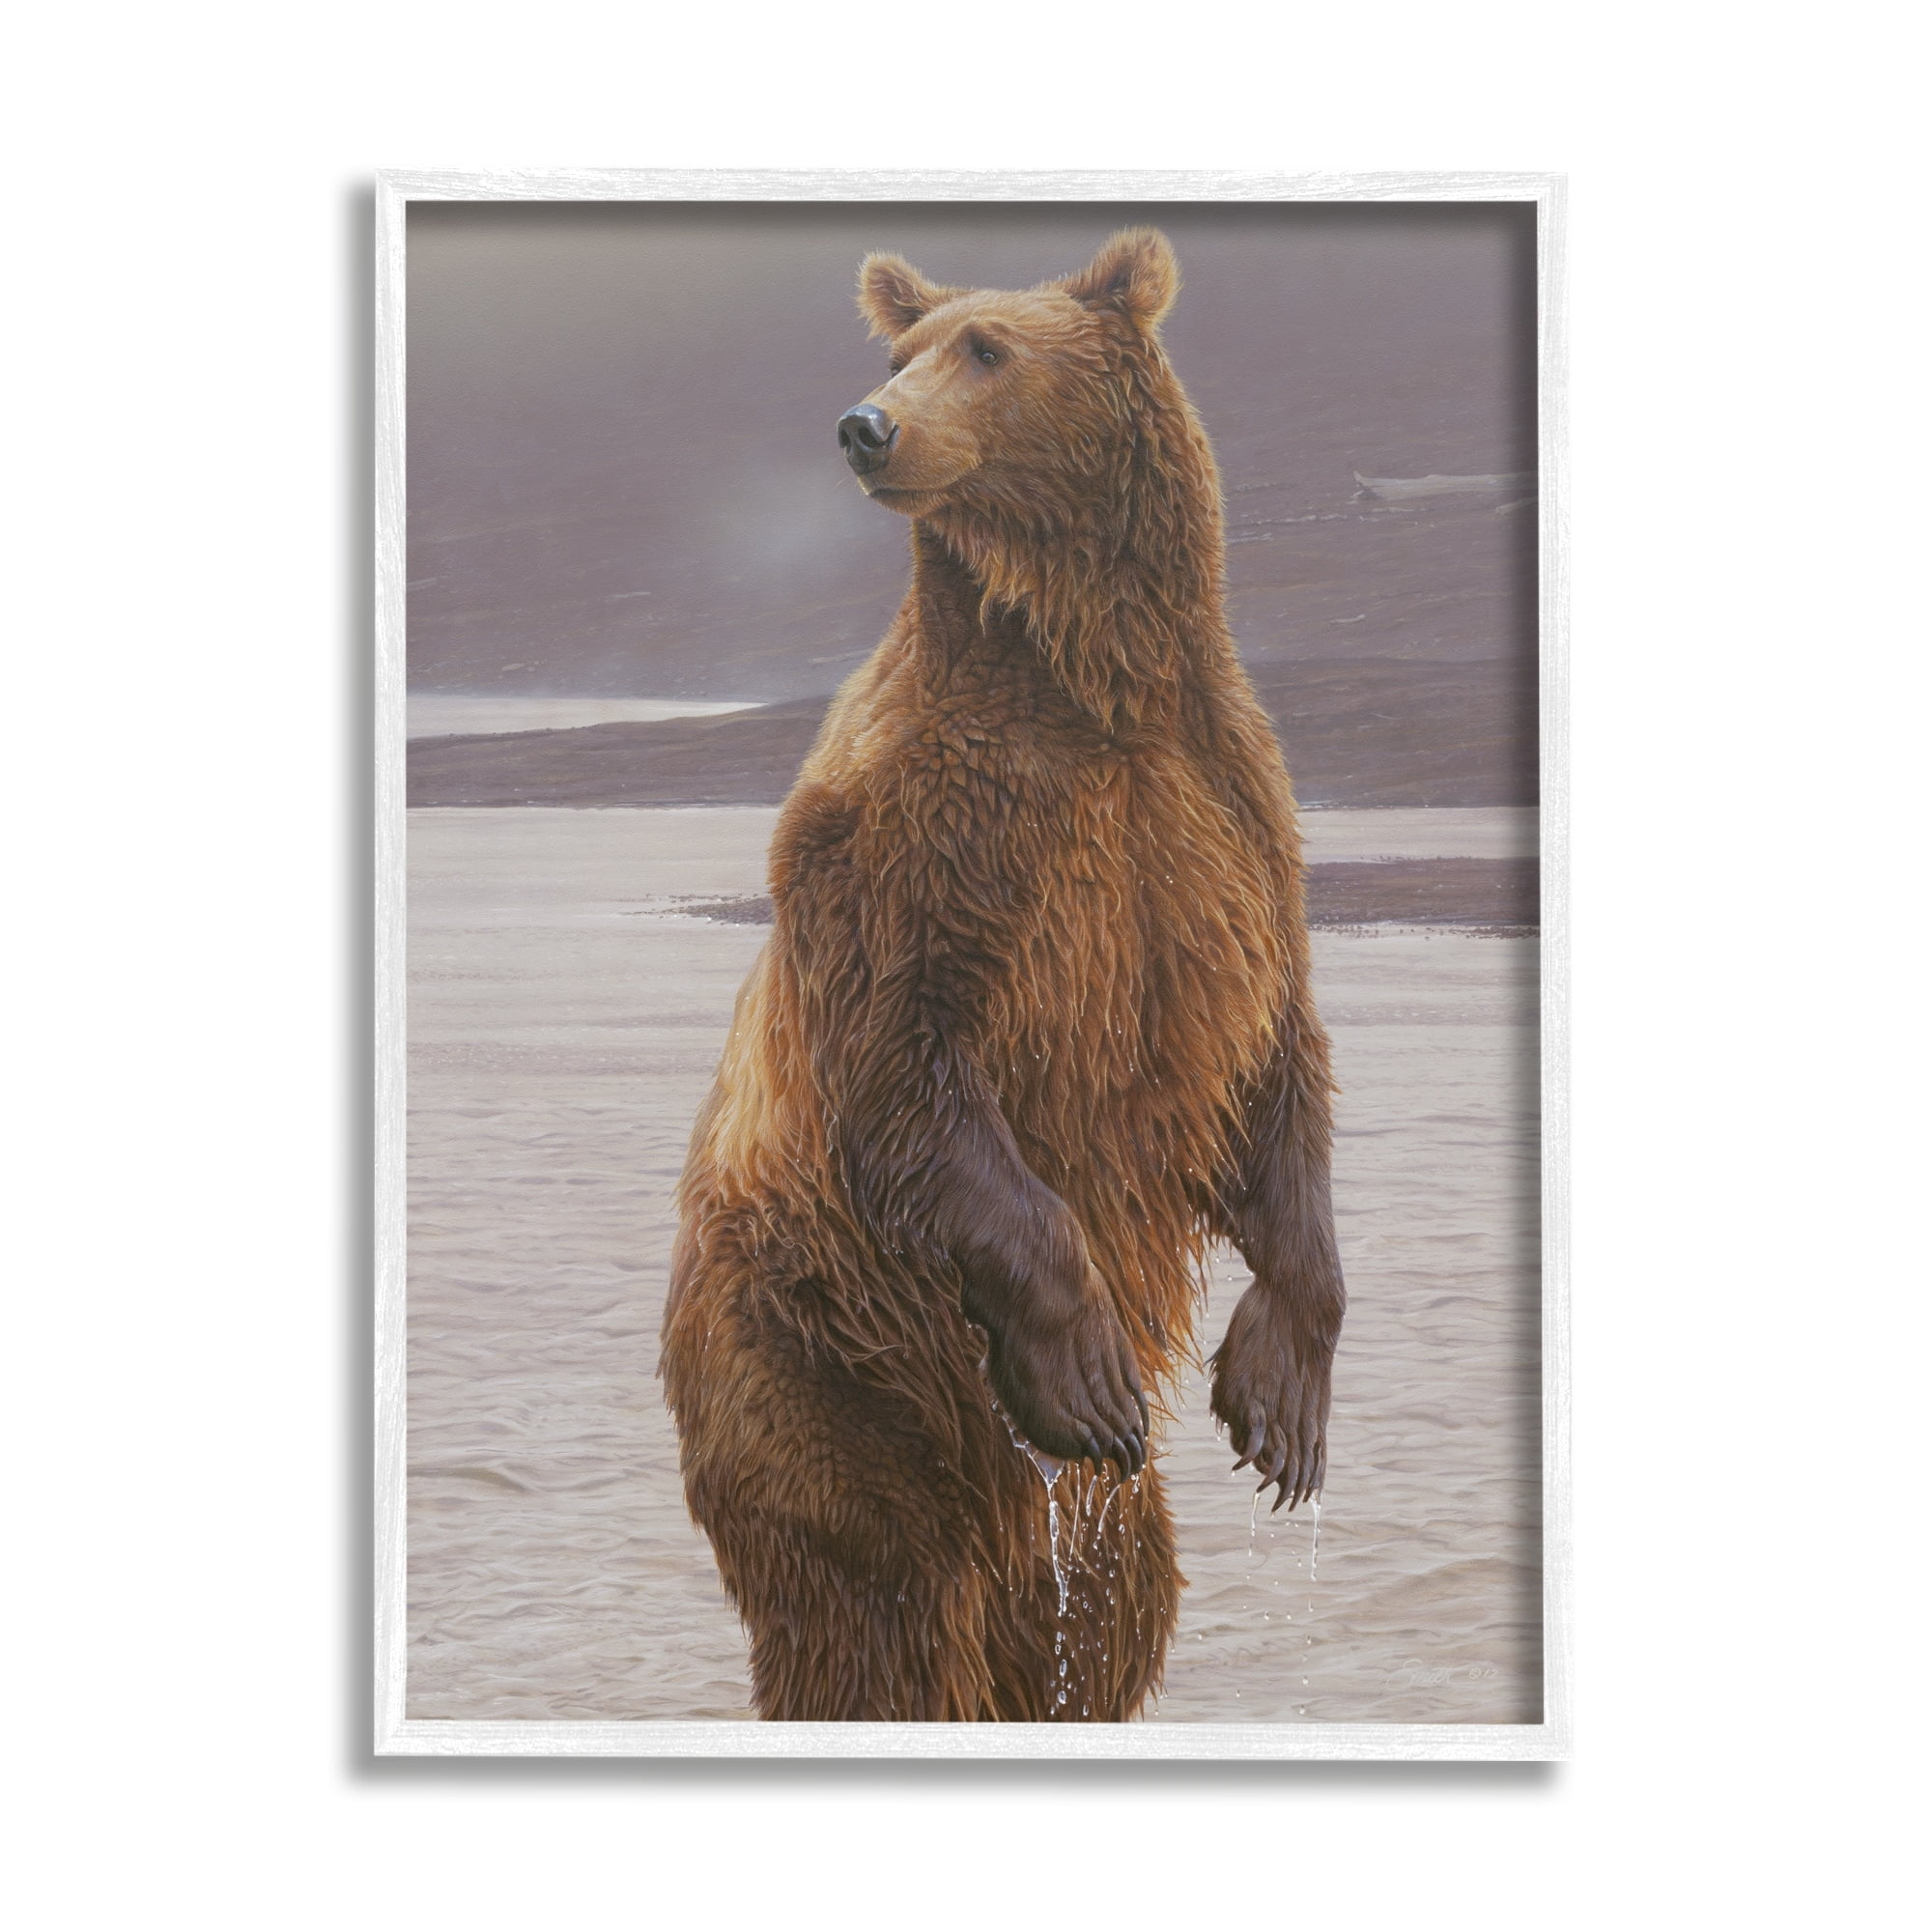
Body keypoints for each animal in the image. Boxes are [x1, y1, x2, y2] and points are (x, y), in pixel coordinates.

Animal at [660, 230, 1345, 1722]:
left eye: (985, 348)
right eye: (902, 348)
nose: (865, 424)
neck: (1083, 678)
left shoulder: (1227, 821)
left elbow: (1276, 1058)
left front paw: (1283, 1397)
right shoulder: (917, 831)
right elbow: (907, 1063)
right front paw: (1086, 1366)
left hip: (1069, 1510)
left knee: (1117, 1602)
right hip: (823, 1365)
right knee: (871, 1616)